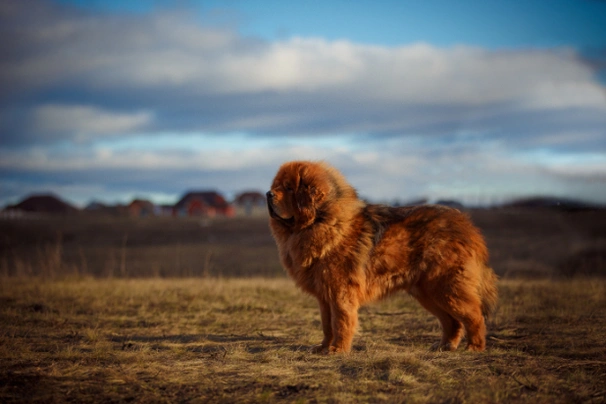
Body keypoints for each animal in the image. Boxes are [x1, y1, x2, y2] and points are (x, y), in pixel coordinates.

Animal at [268, 161, 502, 354]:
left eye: (289, 188)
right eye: (277, 185)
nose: (268, 194)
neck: (321, 220)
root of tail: (467, 226)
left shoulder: (340, 292)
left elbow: (341, 322)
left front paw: (338, 350)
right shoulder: (324, 295)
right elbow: (327, 325)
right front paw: (323, 347)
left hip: (446, 286)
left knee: (474, 316)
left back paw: (474, 347)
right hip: (427, 292)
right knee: (452, 322)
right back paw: (444, 346)